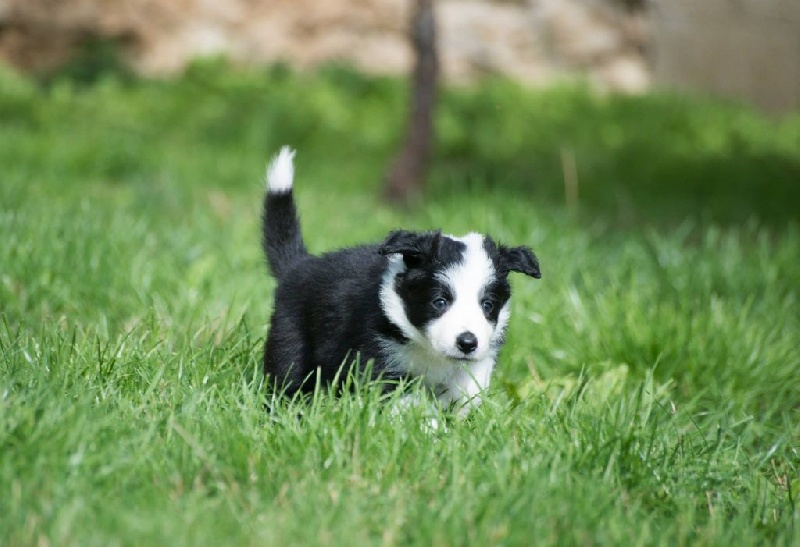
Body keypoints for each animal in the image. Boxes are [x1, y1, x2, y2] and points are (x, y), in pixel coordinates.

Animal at [262, 147, 541, 416]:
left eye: (487, 305)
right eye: (439, 302)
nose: (467, 343)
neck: (427, 349)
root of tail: (299, 264)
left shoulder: (475, 362)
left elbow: (468, 388)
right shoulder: (377, 358)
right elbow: (405, 400)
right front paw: (429, 424)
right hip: (290, 338)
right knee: (288, 376)